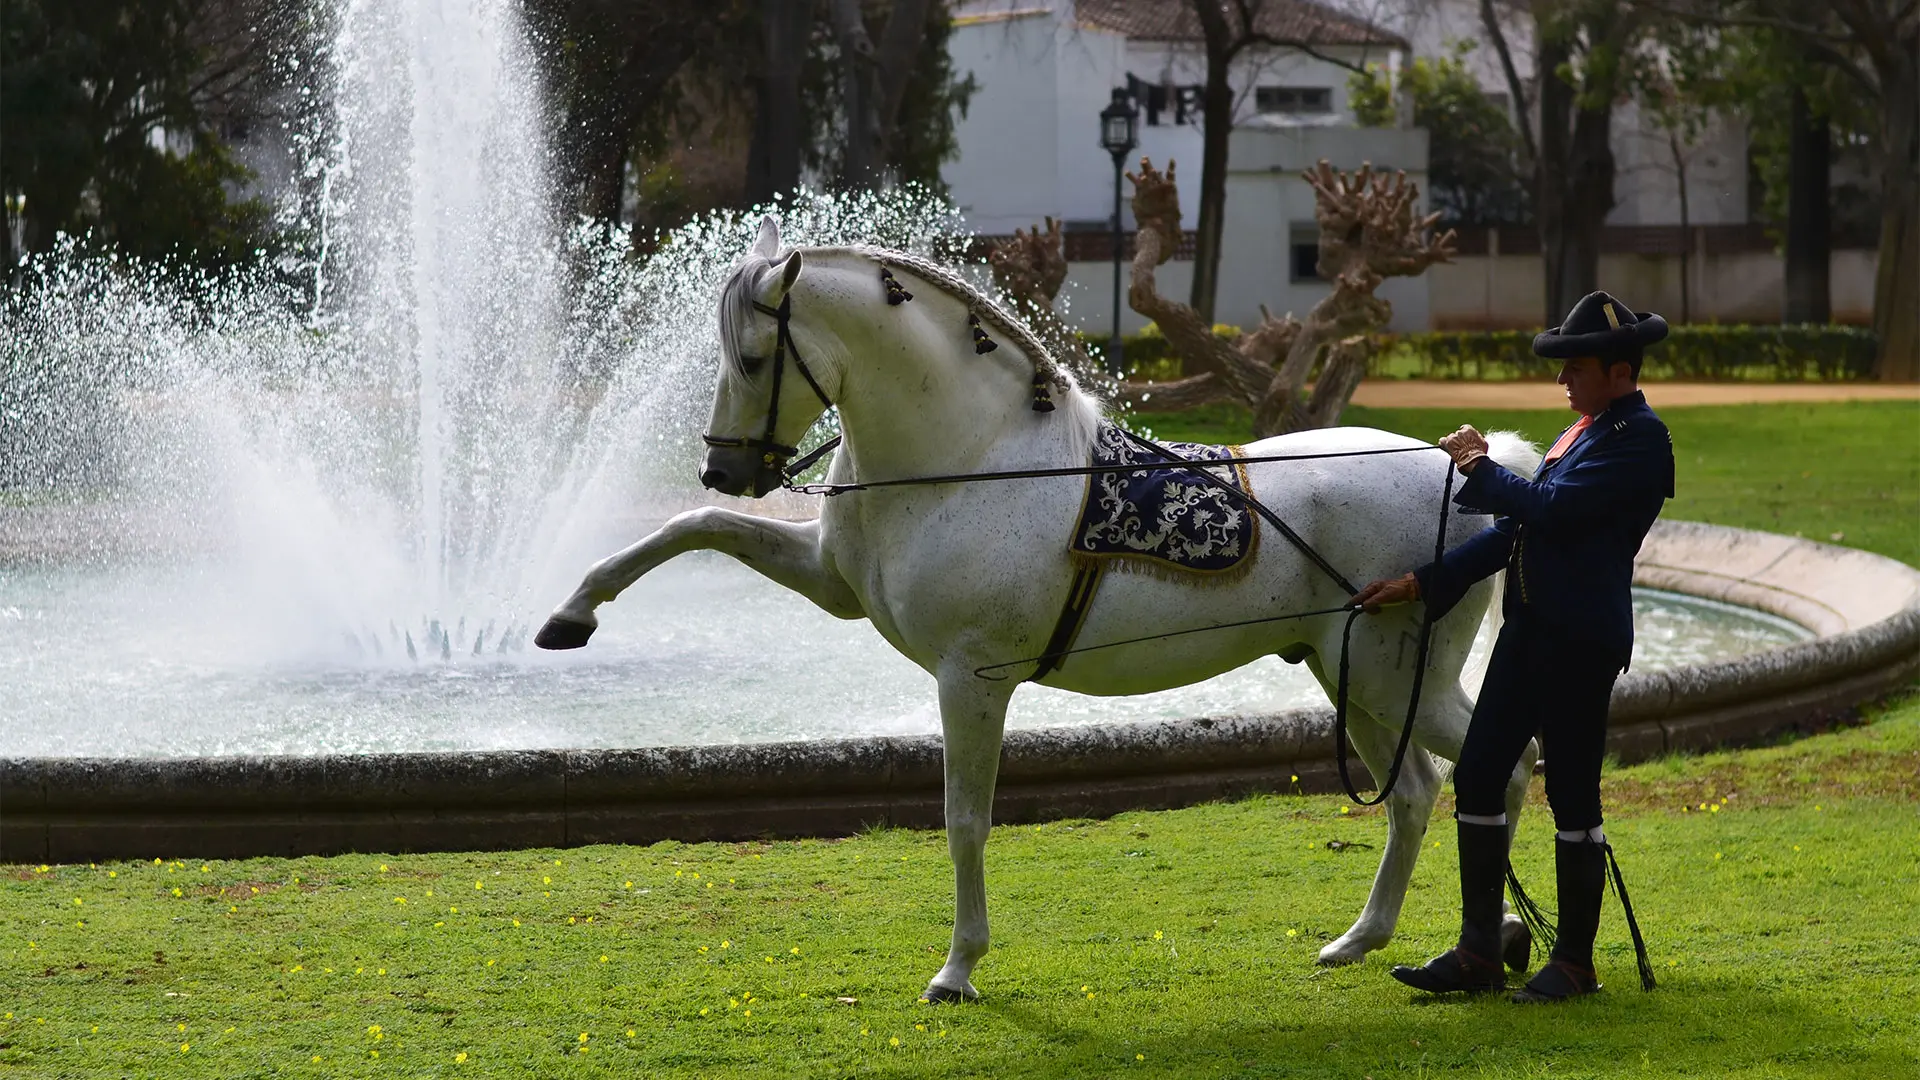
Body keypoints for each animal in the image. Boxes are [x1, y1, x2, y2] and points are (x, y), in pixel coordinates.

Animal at [536, 216, 1543, 1002]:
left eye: (751, 357)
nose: (725, 466)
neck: (971, 459)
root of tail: (1471, 468)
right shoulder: (832, 585)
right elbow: (692, 528)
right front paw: (570, 615)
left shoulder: (970, 680)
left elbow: (964, 821)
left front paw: (957, 969)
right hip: (1357, 682)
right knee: (1416, 794)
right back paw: (1367, 940)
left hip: (1391, 677)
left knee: (1498, 770)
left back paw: (1496, 946)